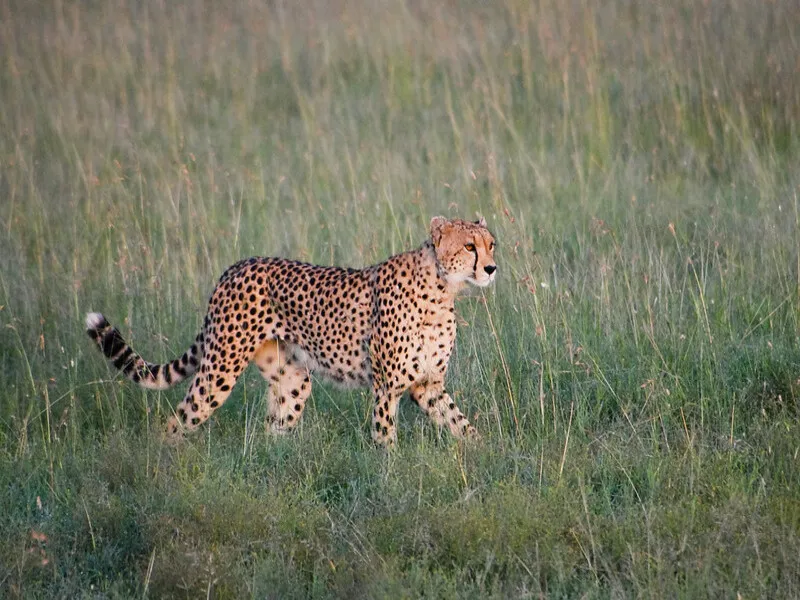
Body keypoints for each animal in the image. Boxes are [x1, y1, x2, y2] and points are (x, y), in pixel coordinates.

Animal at [86, 216, 494, 446]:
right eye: (469, 246)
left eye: (492, 244)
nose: (491, 268)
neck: (443, 288)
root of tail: (236, 265)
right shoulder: (386, 387)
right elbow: (385, 437)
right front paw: (389, 480)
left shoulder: (428, 385)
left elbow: (462, 425)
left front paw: (486, 454)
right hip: (220, 368)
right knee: (178, 421)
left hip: (293, 379)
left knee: (273, 432)